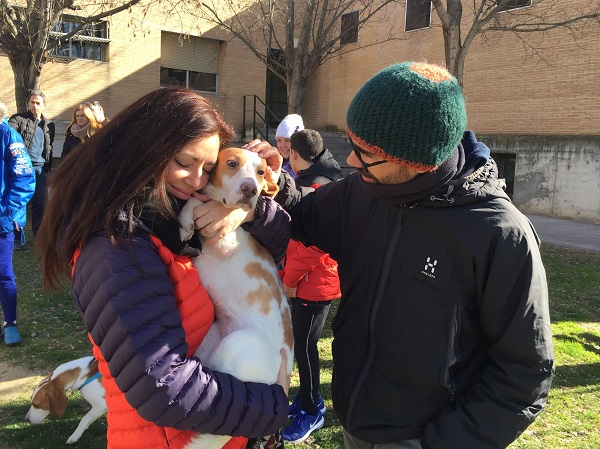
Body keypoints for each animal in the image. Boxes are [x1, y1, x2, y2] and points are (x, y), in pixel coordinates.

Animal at [179, 147, 294, 448]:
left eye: (261, 172)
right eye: (231, 163)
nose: (250, 190)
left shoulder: (225, 241)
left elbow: (194, 201)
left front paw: (185, 221)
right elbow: (196, 199)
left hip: (233, 346)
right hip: (215, 334)